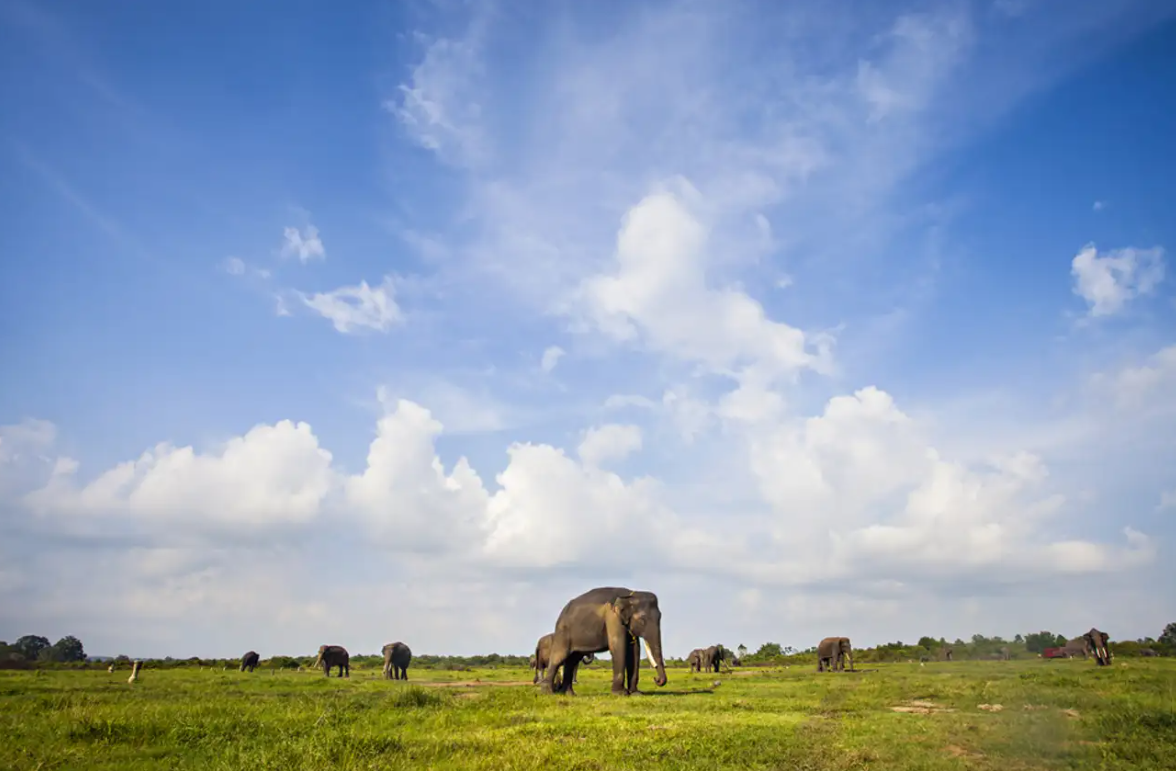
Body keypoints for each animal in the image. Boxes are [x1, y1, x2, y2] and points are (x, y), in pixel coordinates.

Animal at [538, 587, 667, 695]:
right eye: (642, 620)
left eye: (661, 616)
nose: (656, 679)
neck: (630, 594)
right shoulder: (612, 617)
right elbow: (618, 646)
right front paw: (620, 693)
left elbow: (634, 650)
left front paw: (636, 694)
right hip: (563, 632)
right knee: (559, 657)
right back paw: (548, 693)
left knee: (572, 660)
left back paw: (569, 694)